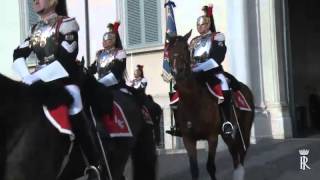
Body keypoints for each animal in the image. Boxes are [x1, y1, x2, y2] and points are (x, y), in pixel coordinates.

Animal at [168, 31, 255, 180]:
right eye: (168, 50)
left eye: (185, 48)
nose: (177, 72)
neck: (193, 101)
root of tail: (245, 88)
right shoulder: (188, 139)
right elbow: (194, 169)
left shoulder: (212, 137)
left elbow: (210, 166)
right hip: (227, 135)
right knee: (234, 151)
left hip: (244, 128)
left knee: (242, 151)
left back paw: (239, 173)